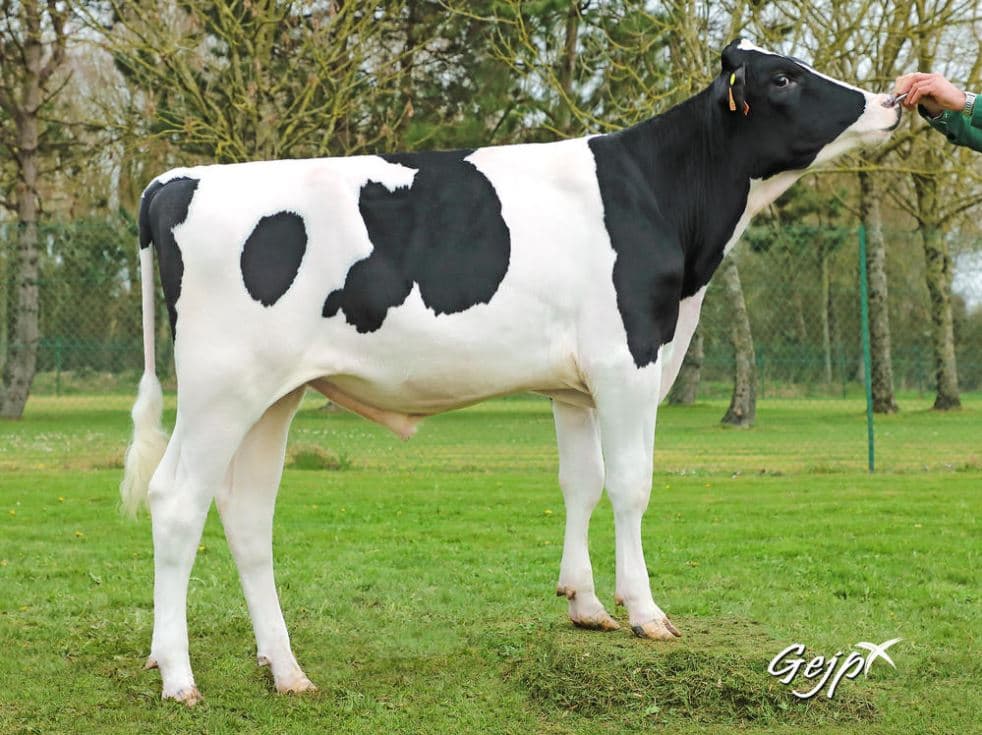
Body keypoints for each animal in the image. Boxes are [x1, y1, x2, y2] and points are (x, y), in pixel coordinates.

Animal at [122, 39, 901, 705]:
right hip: (220, 388)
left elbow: (581, 482)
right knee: (176, 501)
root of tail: (174, 181)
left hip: (272, 396)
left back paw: (284, 669)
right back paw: (179, 676)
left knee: (247, 514)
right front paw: (644, 610)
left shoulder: (574, 386)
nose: (891, 99)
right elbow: (631, 484)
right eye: (784, 77)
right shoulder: (627, 360)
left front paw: (584, 602)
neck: (664, 201)